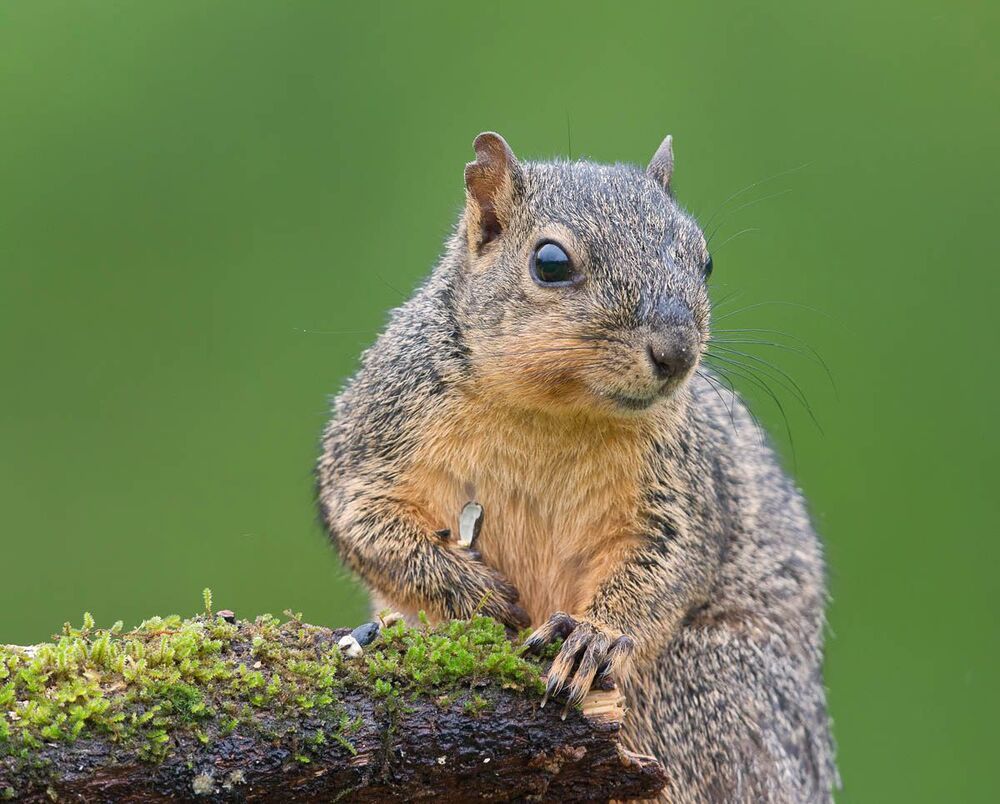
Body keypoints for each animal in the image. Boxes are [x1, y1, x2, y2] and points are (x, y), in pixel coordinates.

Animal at [317, 132, 838, 802]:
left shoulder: (684, 485)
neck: (554, 413)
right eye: (550, 263)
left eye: (705, 261)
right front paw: (479, 594)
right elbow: (365, 523)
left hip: (707, 690)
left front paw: (596, 634)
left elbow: (671, 561)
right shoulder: (378, 430)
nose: (677, 352)